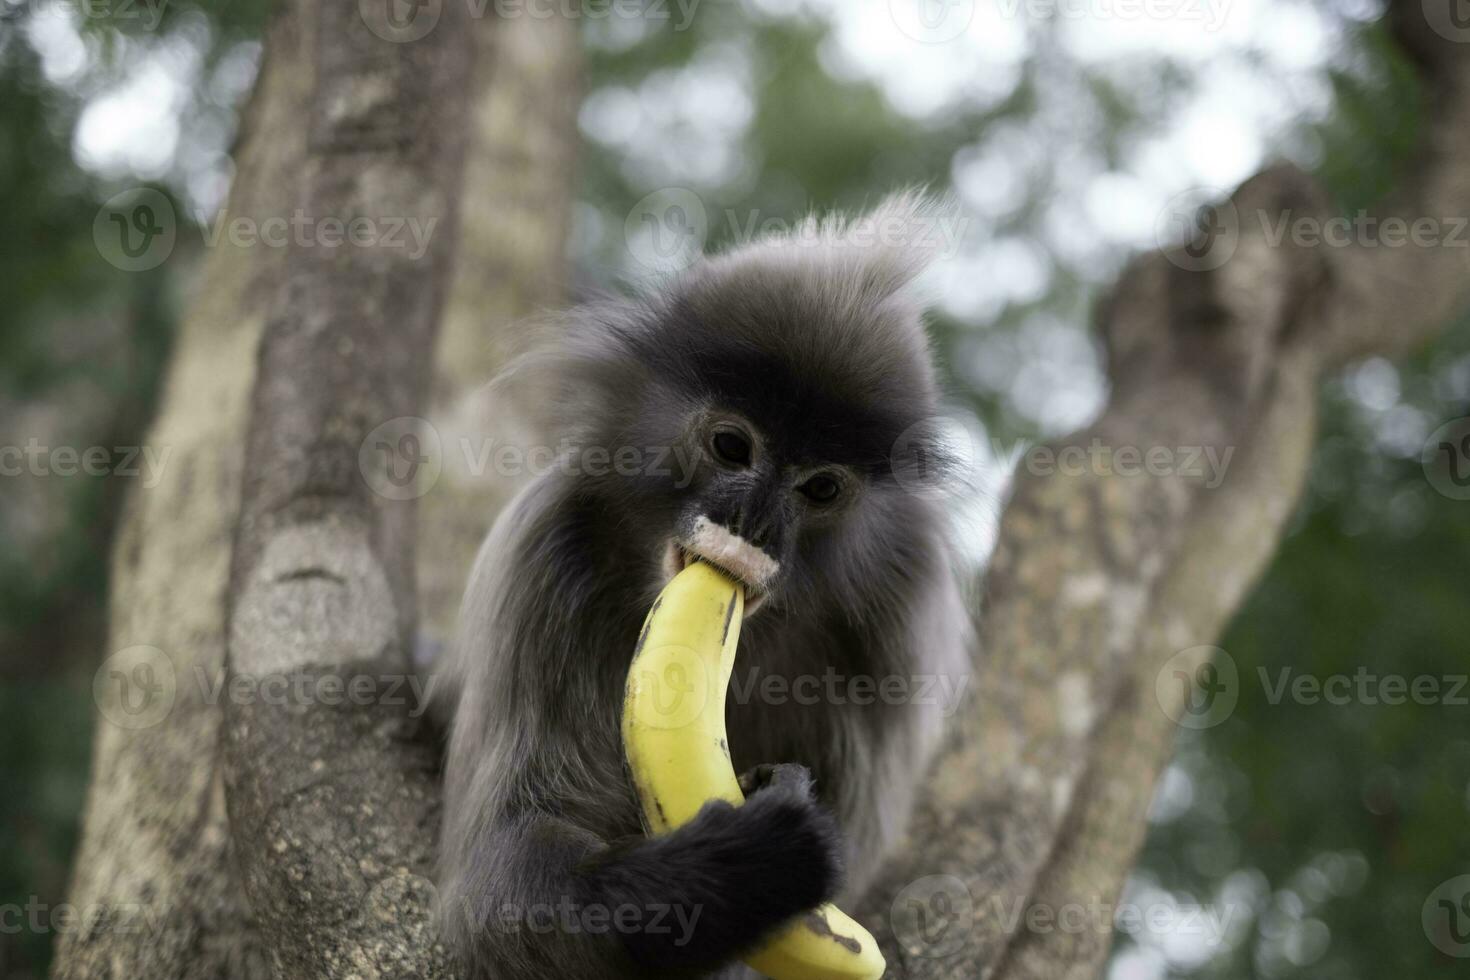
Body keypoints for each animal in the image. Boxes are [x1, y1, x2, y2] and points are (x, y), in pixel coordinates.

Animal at [429, 193, 970, 980]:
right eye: (731, 446)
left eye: (821, 488)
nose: (753, 522)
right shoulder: (542, 555)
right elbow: (497, 890)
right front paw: (754, 858)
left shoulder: (895, 628)